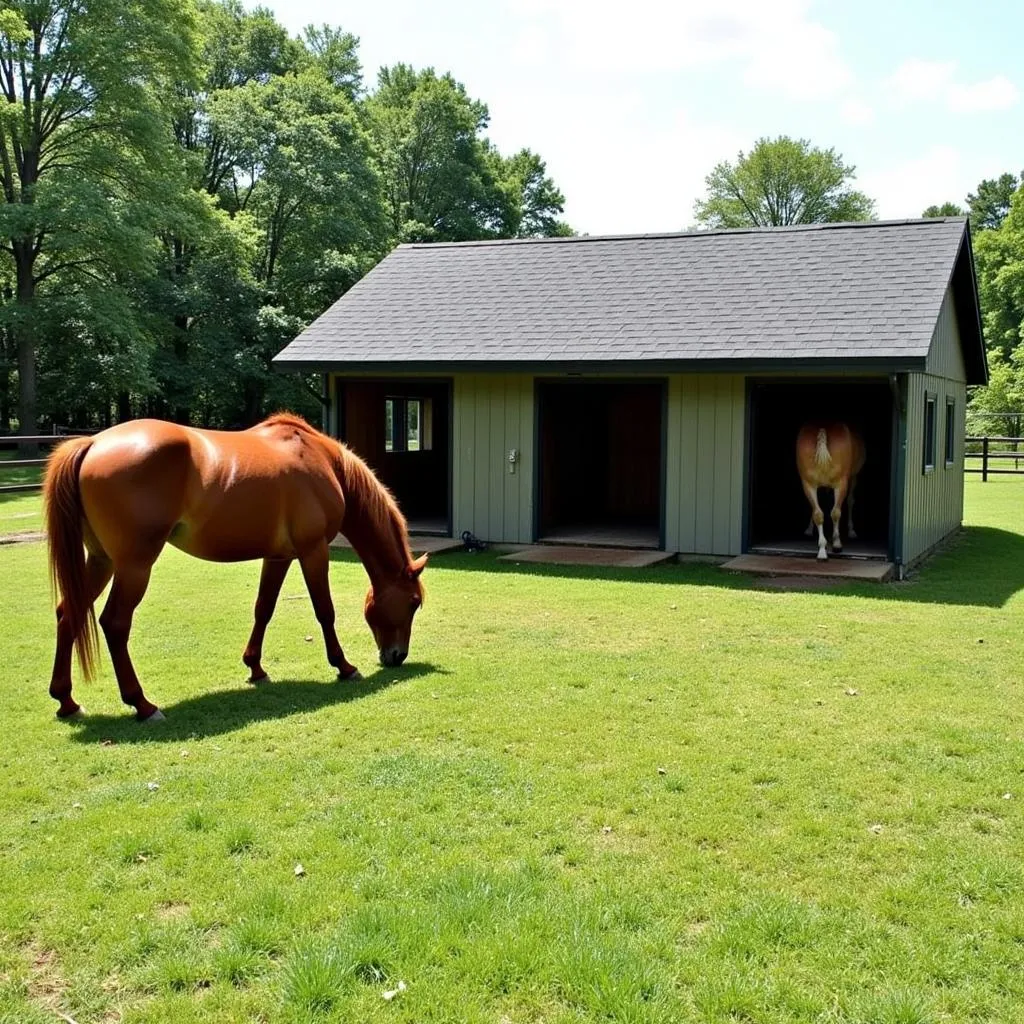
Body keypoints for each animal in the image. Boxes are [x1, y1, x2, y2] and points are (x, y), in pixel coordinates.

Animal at [43, 411, 428, 724]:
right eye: (413, 603)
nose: (397, 656)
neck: (322, 462)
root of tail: (92, 443)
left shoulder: (279, 557)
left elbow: (264, 609)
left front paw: (255, 668)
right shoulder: (313, 551)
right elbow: (324, 611)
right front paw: (344, 667)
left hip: (101, 561)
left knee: (68, 613)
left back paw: (67, 701)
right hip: (134, 566)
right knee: (115, 624)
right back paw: (143, 705)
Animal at [790, 425, 864, 569]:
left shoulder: (840, 484)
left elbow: (834, 512)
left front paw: (835, 543)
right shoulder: (814, 485)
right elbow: (821, 514)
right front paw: (823, 550)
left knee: (844, 504)